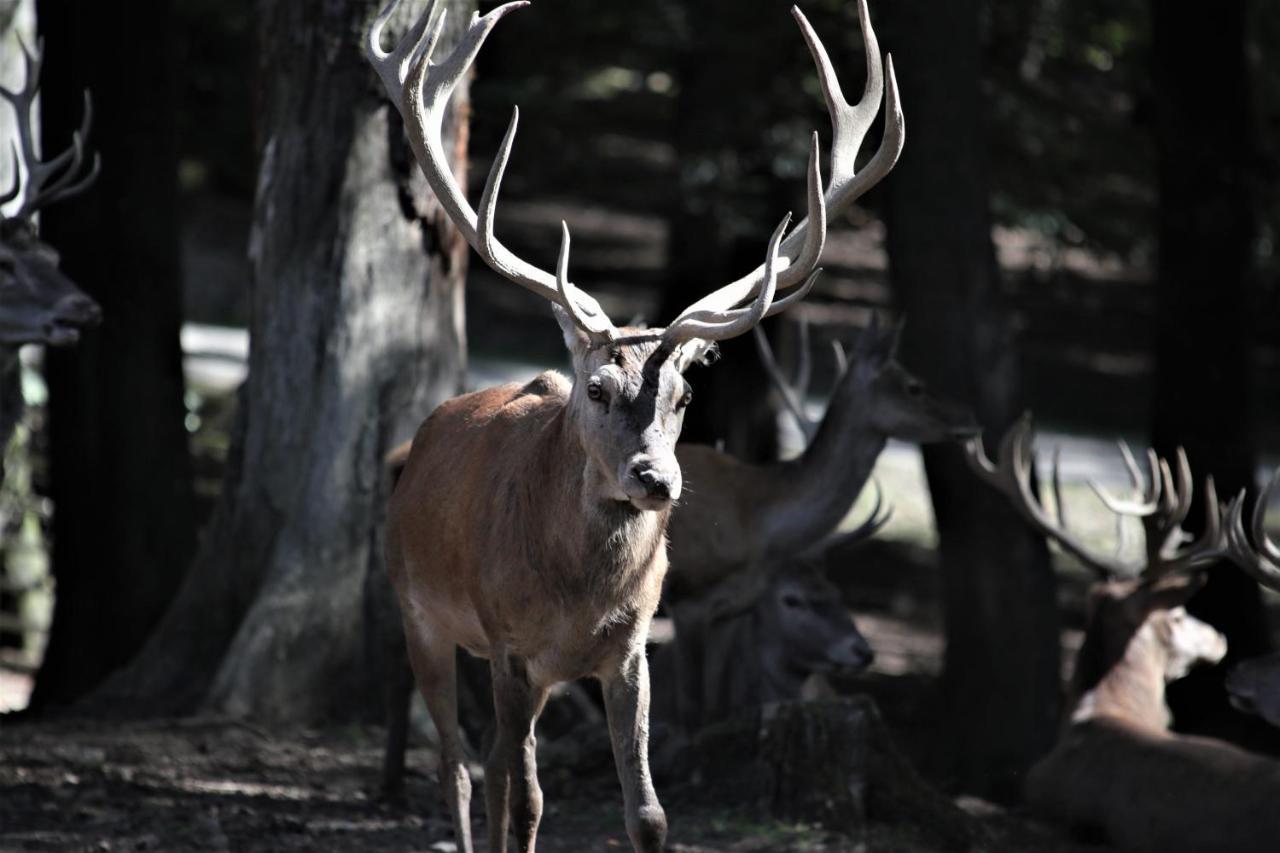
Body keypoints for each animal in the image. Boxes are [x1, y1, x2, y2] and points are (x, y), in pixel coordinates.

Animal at [368, 3, 911, 845]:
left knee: (486, 761)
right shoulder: (511, 644)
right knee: (459, 765)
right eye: (596, 387)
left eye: (684, 395)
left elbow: (648, 811)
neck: (577, 595)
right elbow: (526, 798)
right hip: (420, 609)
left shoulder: (628, 650)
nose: (656, 478)